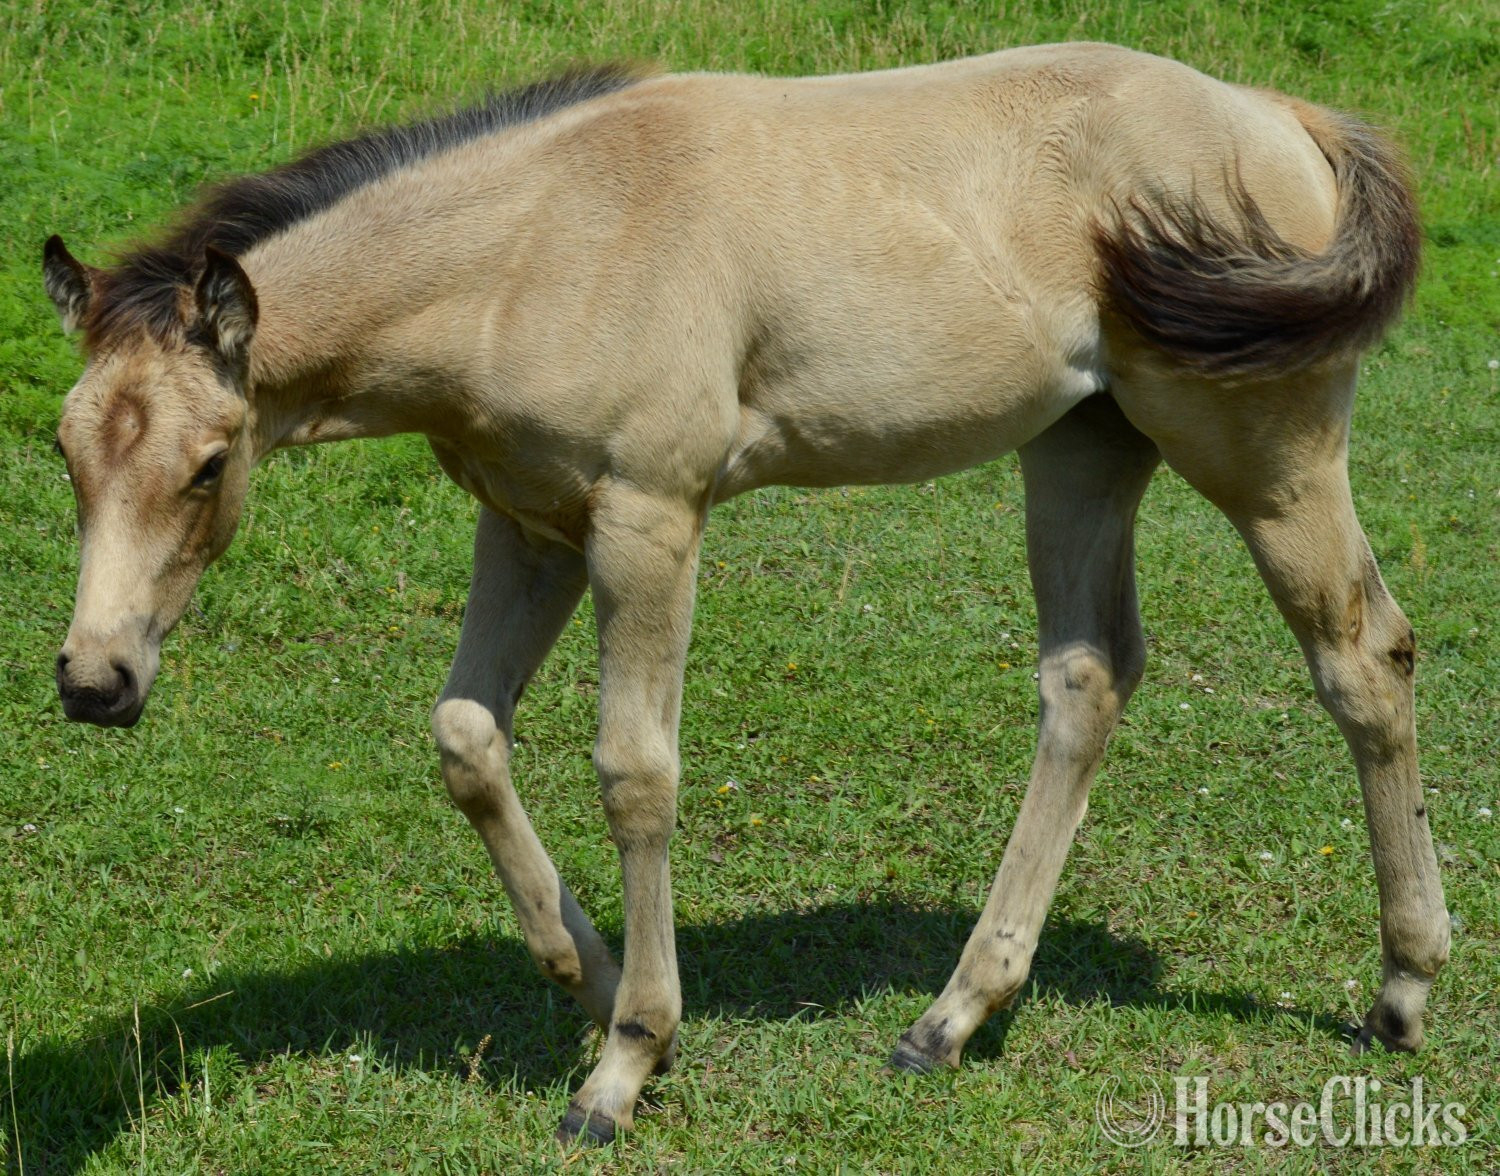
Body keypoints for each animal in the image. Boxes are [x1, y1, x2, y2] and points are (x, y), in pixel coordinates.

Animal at [43, 43, 1449, 1146]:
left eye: (208, 464)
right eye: (64, 450)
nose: (97, 681)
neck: (537, 246)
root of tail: (1277, 114)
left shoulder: (648, 520)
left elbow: (635, 771)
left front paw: (624, 1066)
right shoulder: (529, 524)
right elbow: (465, 735)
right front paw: (589, 978)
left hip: (1262, 454)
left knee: (1362, 656)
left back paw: (1401, 989)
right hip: (1084, 446)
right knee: (1088, 675)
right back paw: (949, 1019)